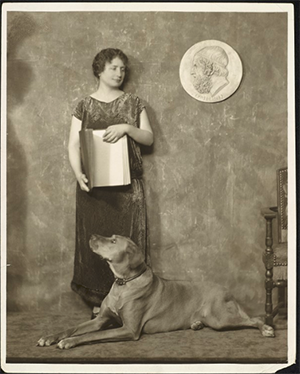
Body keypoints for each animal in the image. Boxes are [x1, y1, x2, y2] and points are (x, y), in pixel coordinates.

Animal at [37, 235, 274, 350]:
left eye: (113, 241)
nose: (93, 234)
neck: (124, 283)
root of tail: (226, 289)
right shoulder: (101, 319)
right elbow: (74, 327)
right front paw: (50, 337)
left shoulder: (129, 329)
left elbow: (94, 335)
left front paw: (69, 342)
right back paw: (196, 324)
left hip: (221, 319)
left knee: (254, 319)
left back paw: (267, 329)